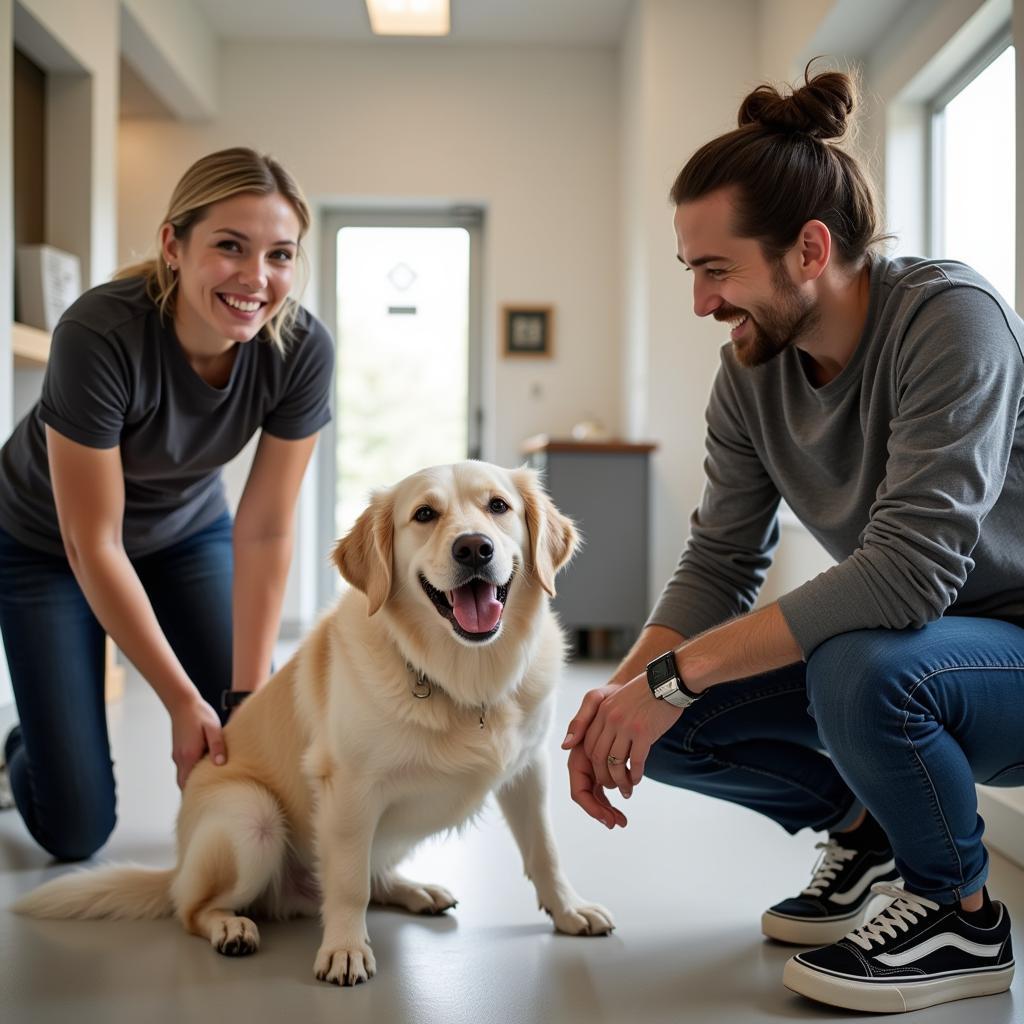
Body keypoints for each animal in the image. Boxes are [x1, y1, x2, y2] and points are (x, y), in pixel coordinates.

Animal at [12, 462, 610, 983]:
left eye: (498, 507)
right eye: (424, 515)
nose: (474, 548)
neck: (463, 678)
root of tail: (177, 868)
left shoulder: (529, 771)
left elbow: (544, 851)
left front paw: (568, 910)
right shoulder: (348, 788)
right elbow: (347, 885)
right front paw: (344, 949)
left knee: (374, 874)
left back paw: (414, 890)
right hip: (252, 817)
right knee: (194, 910)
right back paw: (230, 926)